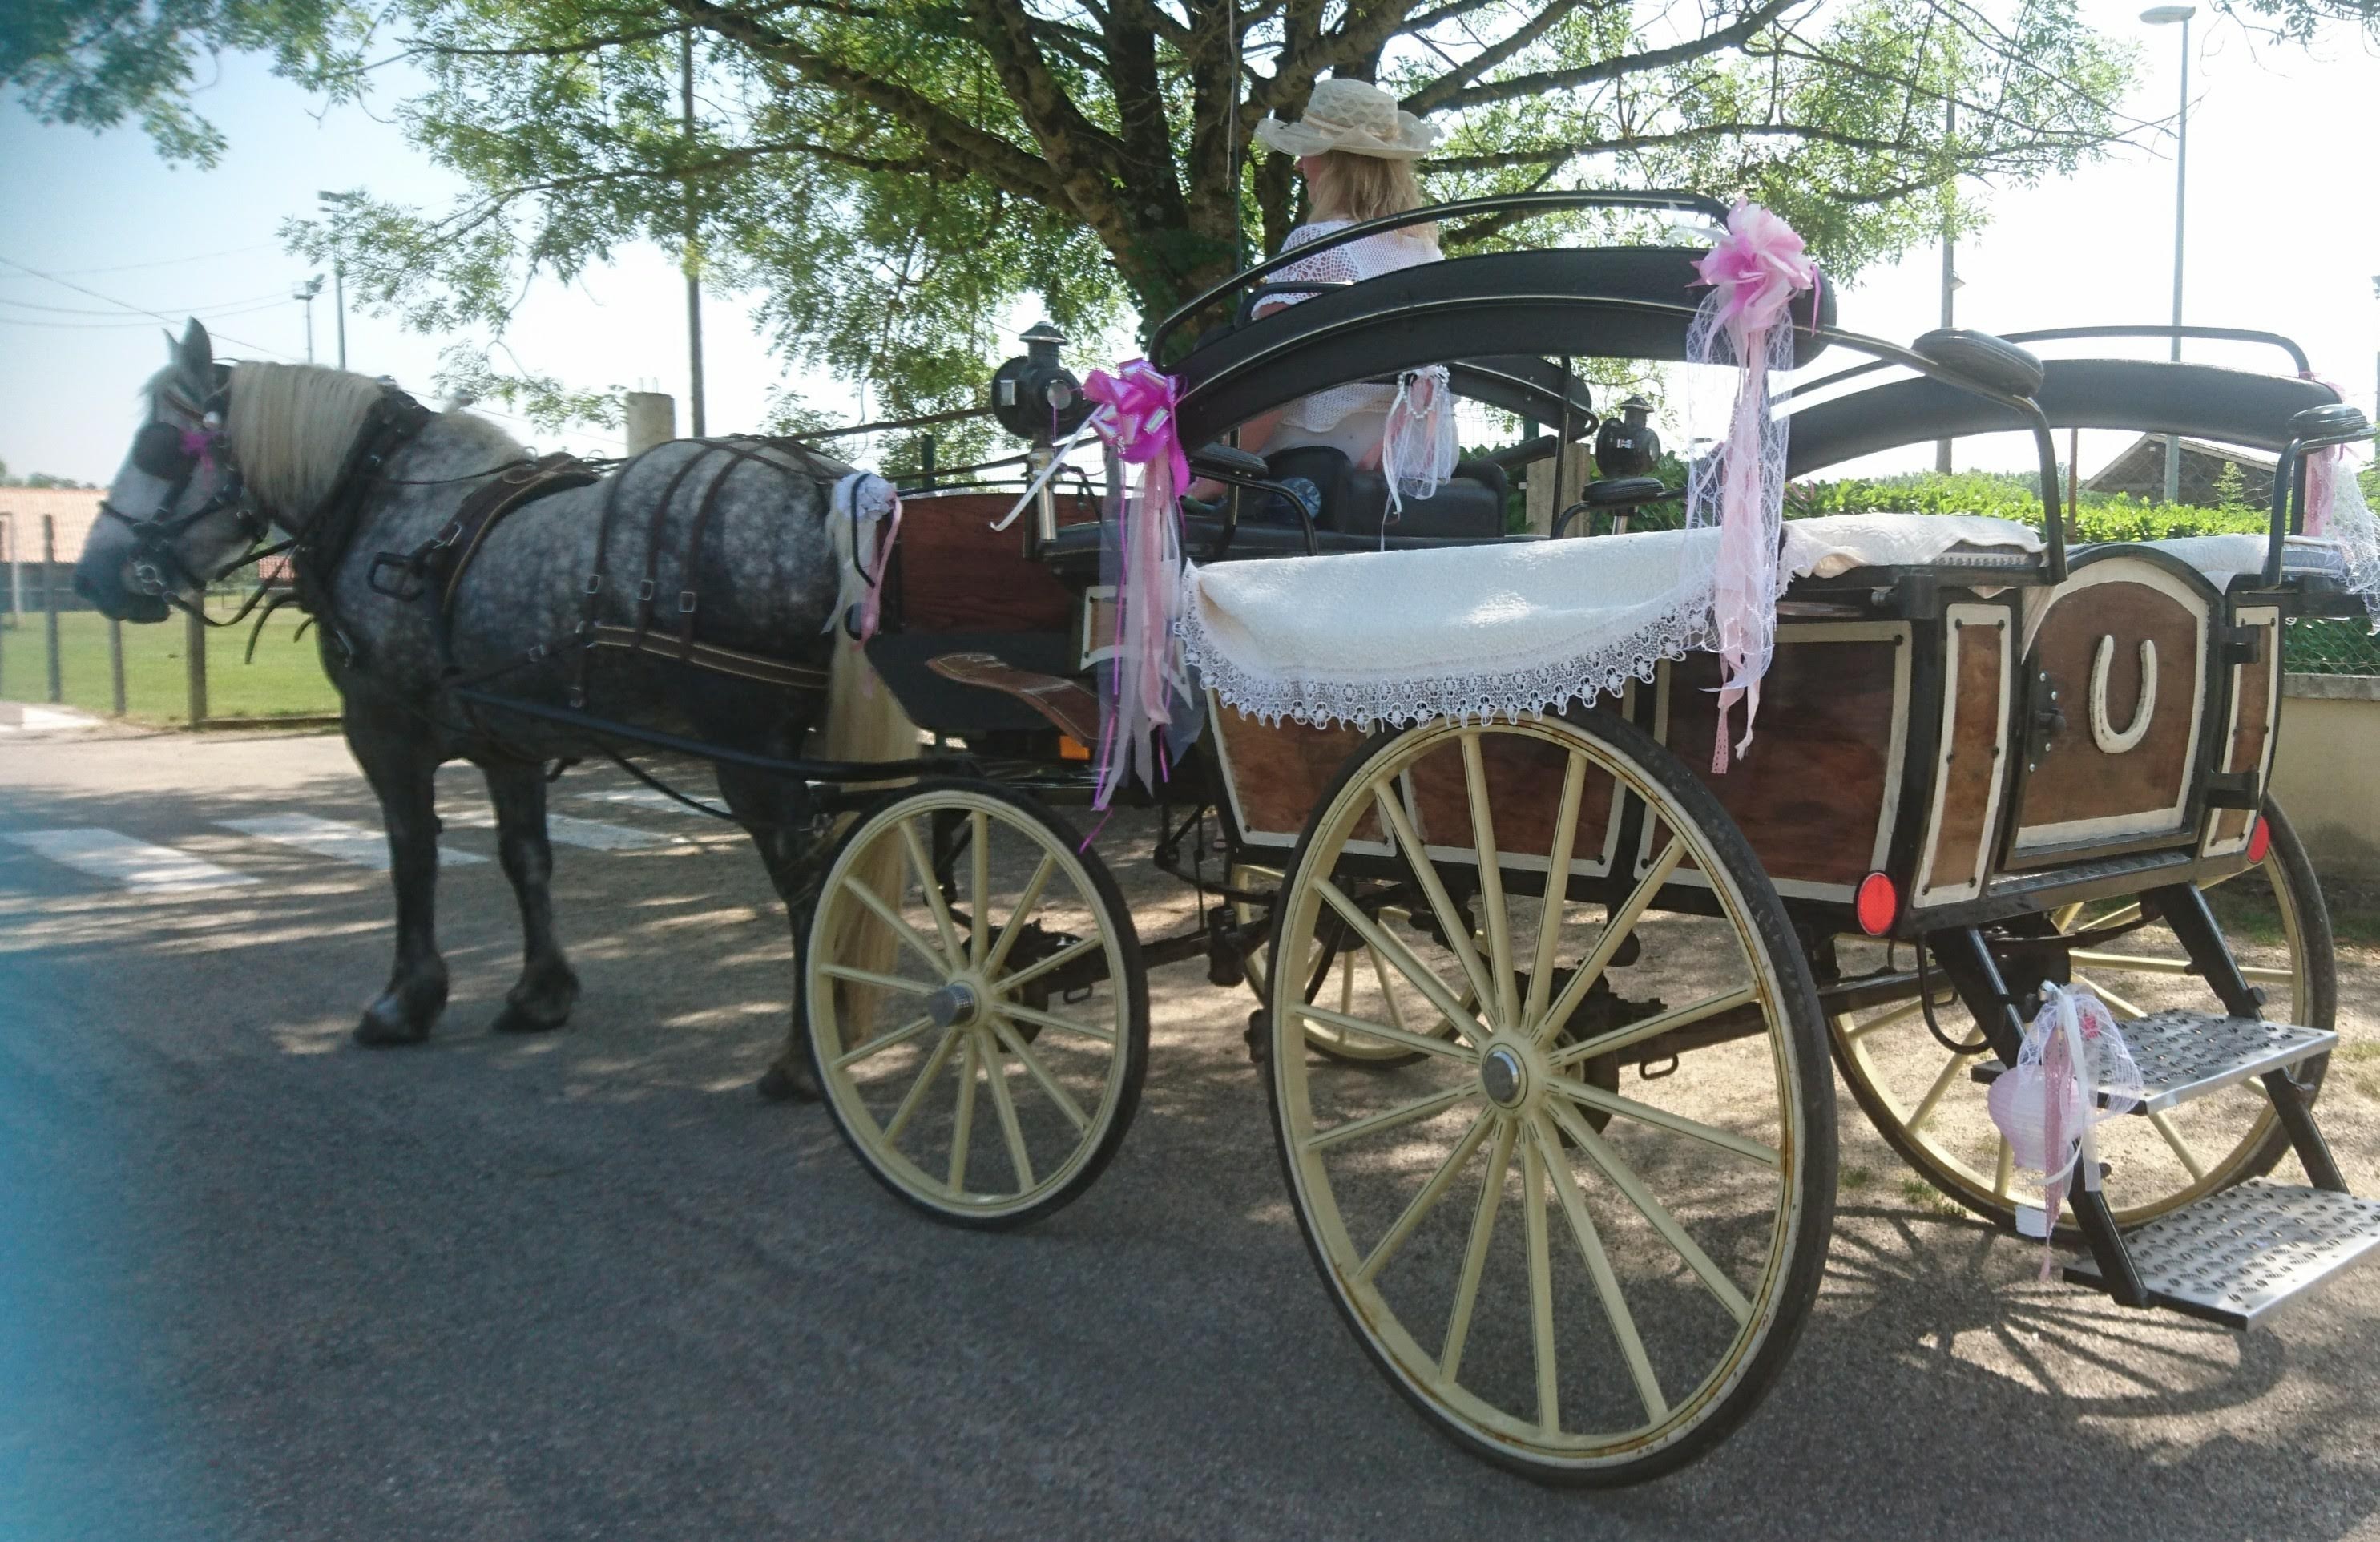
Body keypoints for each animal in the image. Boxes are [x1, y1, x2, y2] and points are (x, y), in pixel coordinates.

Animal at [71, 321, 909, 1094]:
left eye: (157, 447)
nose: (91, 577)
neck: (381, 503)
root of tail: (822, 484)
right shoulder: (511, 744)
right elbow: (525, 857)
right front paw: (541, 992)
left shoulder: (383, 730)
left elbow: (412, 854)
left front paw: (403, 1002)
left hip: (756, 753)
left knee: (809, 880)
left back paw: (803, 1057)